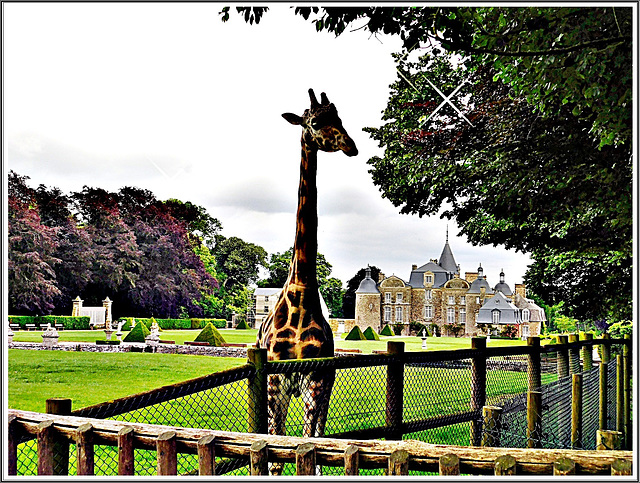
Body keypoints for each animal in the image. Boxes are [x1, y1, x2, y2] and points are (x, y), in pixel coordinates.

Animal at [255, 87, 356, 458]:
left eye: (339, 117)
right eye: (313, 122)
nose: (350, 145)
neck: (301, 291)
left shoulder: (315, 377)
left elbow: (310, 446)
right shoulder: (276, 380)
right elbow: (275, 450)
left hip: (326, 383)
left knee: (321, 433)